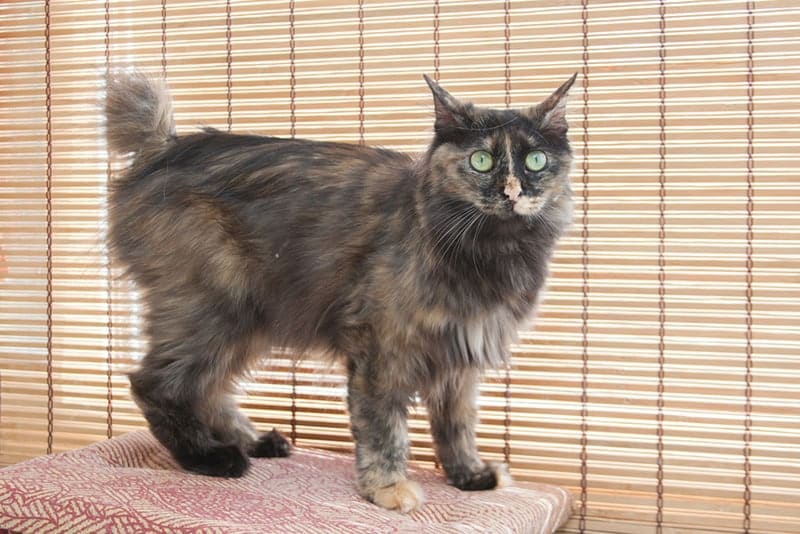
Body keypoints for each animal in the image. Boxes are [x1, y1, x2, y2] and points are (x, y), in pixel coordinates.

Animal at [104, 69, 576, 512]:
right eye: (480, 160)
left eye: (536, 160)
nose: (513, 191)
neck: (493, 251)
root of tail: (165, 149)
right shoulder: (382, 348)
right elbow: (384, 428)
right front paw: (387, 488)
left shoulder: (459, 356)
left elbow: (456, 425)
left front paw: (468, 474)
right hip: (214, 306)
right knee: (157, 384)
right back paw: (213, 457)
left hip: (246, 320)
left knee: (207, 389)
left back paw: (253, 442)